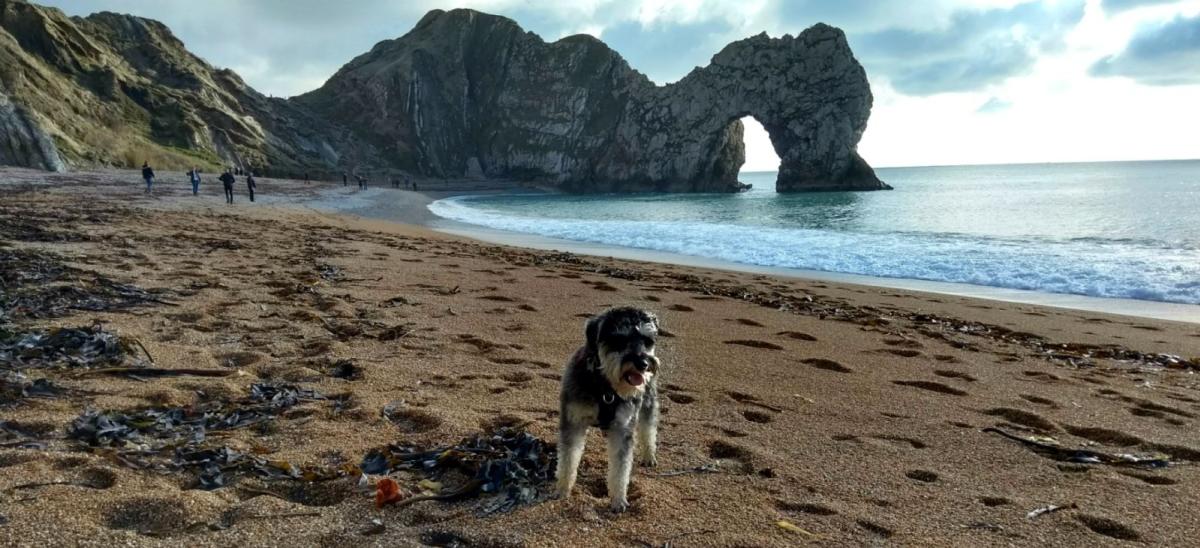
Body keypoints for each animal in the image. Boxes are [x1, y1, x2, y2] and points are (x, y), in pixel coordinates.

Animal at [554, 305, 662, 510]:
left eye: (648, 341)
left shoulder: (622, 427)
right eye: (618, 339)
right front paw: (562, 490)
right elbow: (568, 458)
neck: (606, 387)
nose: (643, 364)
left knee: (648, 427)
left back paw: (649, 455)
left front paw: (618, 500)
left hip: (648, 401)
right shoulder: (573, 421)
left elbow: (621, 468)